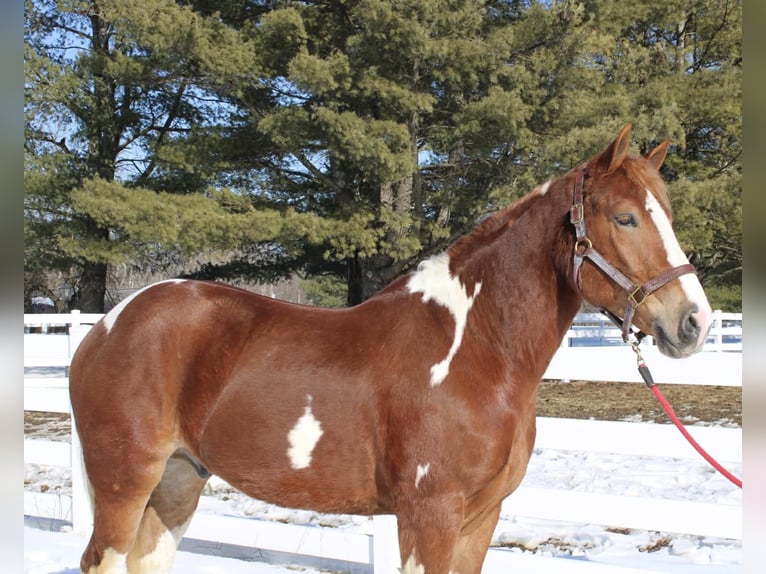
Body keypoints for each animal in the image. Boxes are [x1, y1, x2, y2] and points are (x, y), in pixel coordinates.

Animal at [69, 124, 713, 573]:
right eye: (625, 218)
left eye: (666, 214)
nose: (694, 322)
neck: (474, 353)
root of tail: (106, 327)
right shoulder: (429, 513)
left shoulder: (480, 517)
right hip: (126, 483)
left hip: (178, 481)